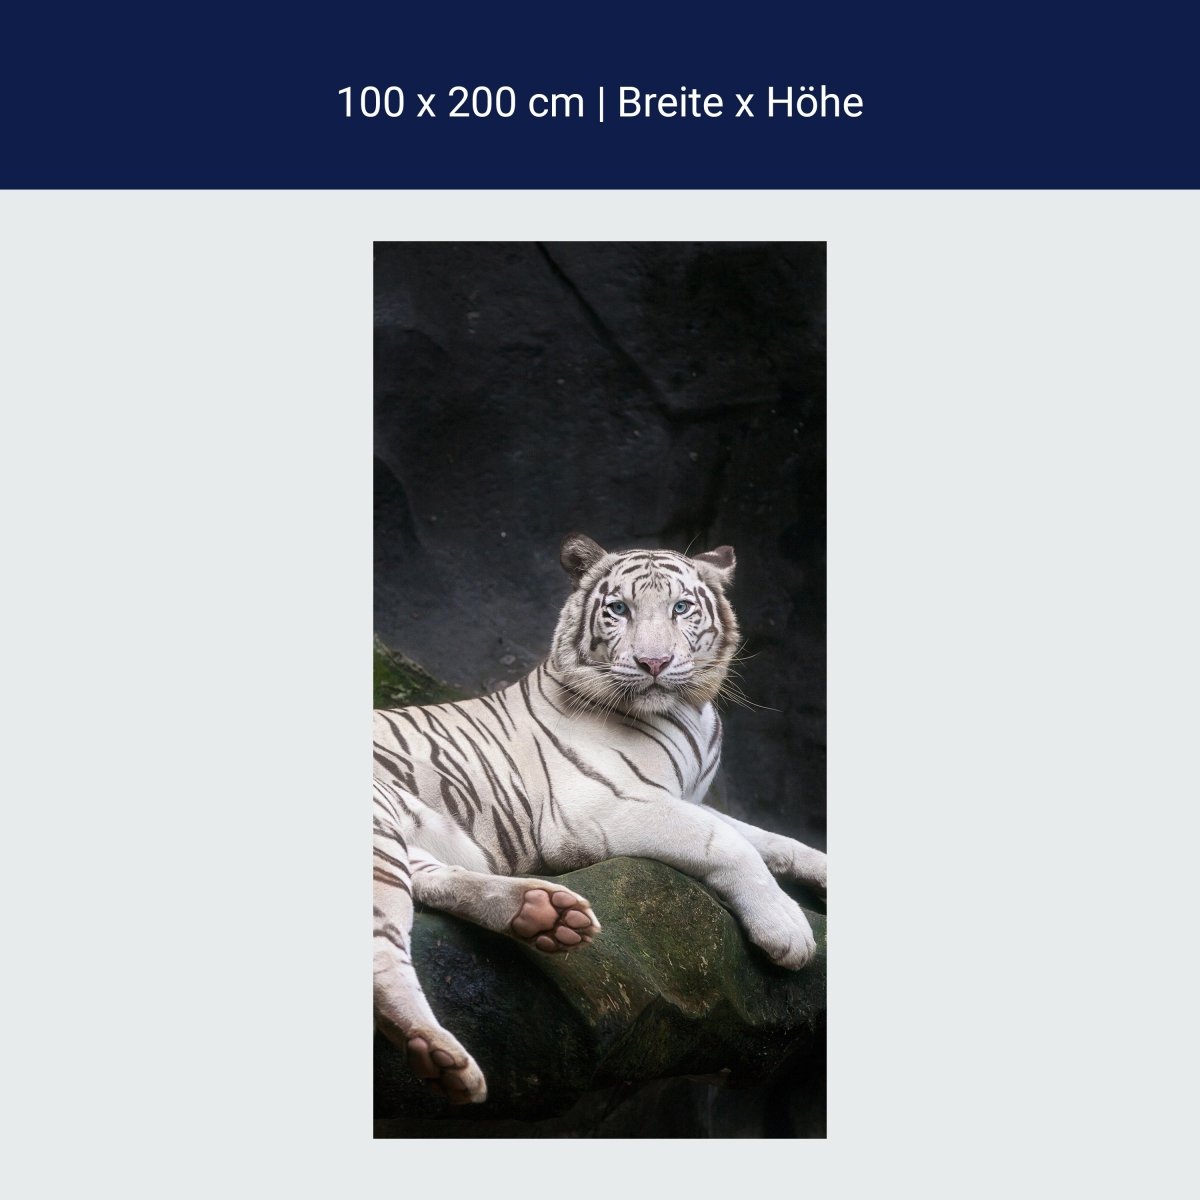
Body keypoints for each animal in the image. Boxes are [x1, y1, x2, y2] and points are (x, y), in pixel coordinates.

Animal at [373, 533, 828, 1104]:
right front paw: (787, 929)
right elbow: (725, 842)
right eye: (619, 610)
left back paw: (543, 913)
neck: (690, 712)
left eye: (681, 608)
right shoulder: (600, 806)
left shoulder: (686, 797)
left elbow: (772, 839)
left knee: (427, 878)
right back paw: (439, 1055)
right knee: (384, 947)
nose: (654, 662)